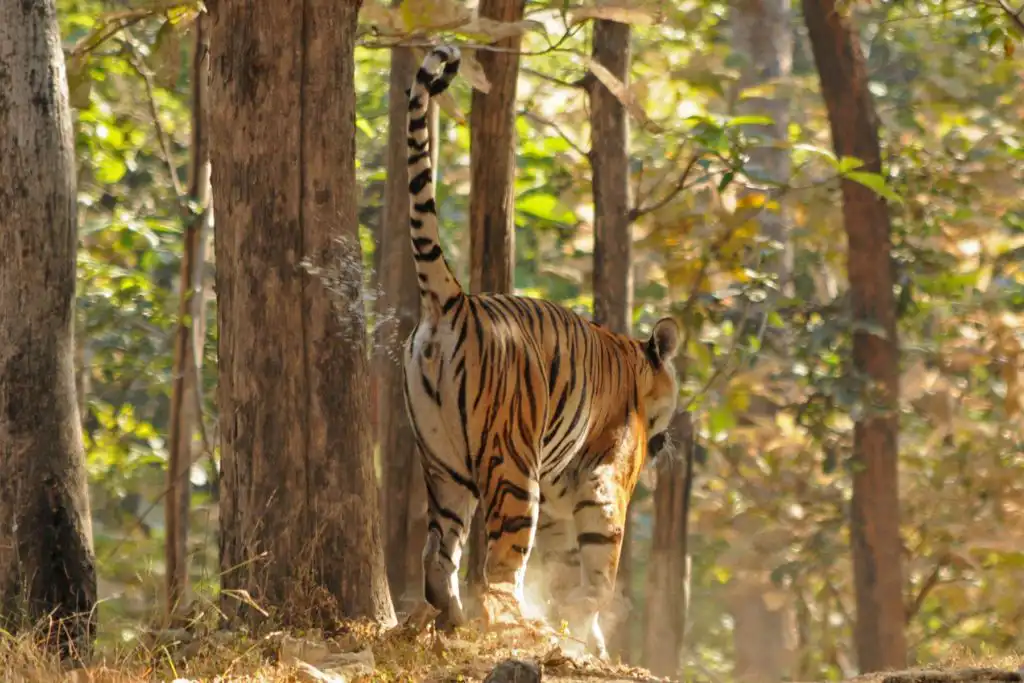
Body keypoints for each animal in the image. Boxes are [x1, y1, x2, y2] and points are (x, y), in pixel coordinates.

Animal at [402, 44, 681, 658]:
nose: (663, 444)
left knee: (438, 554)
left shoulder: (561, 491)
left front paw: (584, 633)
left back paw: (451, 618)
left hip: (443, 464)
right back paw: (511, 624)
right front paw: (590, 633)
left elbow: (572, 564)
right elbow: (599, 566)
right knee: (499, 568)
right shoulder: (602, 481)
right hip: (511, 469)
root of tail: (453, 299)